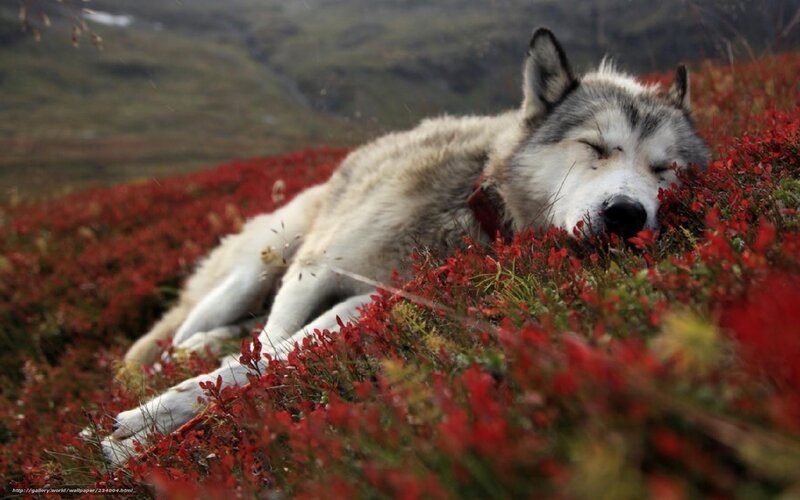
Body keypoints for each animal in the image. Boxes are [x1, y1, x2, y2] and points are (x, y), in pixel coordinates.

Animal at [98, 28, 710, 464]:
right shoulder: (313, 272)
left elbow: (270, 360)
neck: (474, 205)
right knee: (168, 339)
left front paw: (151, 431)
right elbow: (265, 350)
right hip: (262, 264)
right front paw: (150, 421)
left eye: (665, 170)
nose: (626, 215)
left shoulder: (371, 301)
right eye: (595, 147)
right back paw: (169, 359)